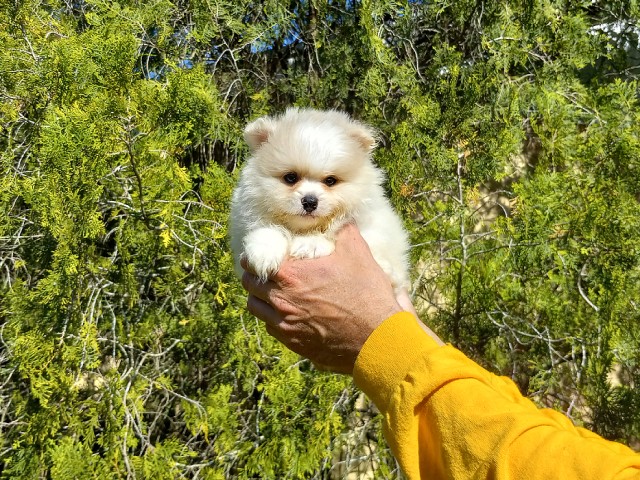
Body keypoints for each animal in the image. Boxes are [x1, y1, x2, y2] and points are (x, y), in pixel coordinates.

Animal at [231, 108, 410, 292]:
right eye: (290, 177)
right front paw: (265, 251)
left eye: (330, 181)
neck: (303, 229)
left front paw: (310, 244)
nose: (310, 202)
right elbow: (264, 229)